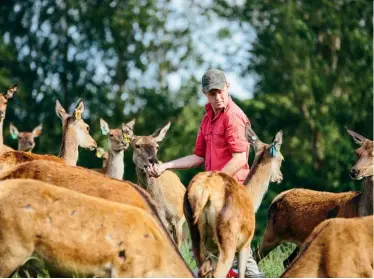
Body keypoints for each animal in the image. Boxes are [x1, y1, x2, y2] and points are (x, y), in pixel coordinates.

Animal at [184, 125, 284, 279]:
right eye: (282, 159)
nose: (280, 176)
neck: (252, 199)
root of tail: (205, 192)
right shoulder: (245, 243)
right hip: (227, 240)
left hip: (196, 237)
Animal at [254, 128, 374, 268]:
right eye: (357, 152)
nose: (354, 171)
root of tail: (278, 197)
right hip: (272, 232)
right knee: (255, 255)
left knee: (287, 261)